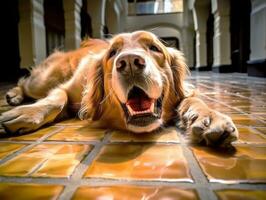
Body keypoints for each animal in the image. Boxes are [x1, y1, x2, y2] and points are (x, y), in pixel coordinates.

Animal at [0, 31, 237, 147]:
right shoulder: (66, 88)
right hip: (43, 80)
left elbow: (192, 100)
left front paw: (210, 118)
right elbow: (57, 99)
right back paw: (14, 96)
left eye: (154, 48)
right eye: (113, 53)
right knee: (24, 81)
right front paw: (27, 113)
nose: (130, 62)